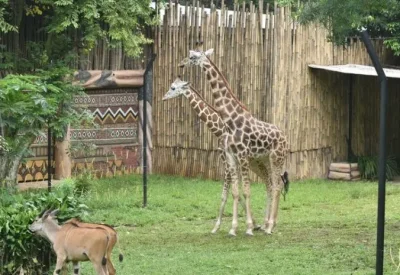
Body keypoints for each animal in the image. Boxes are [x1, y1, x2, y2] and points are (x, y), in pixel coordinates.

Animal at [162, 76, 260, 234]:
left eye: (173, 88)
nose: (164, 97)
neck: (219, 129)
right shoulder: (229, 161)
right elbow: (234, 191)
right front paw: (251, 223)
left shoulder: (226, 161)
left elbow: (226, 193)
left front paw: (218, 226)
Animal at [180, 48, 290, 236]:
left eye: (192, 56)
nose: (181, 64)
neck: (231, 120)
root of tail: (284, 138)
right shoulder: (231, 156)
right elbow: (235, 192)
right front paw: (233, 228)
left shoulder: (241, 155)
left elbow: (245, 191)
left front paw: (248, 228)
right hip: (266, 160)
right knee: (273, 184)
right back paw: (267, 224)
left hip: (276, 158)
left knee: (276, 186)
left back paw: (269, 226)